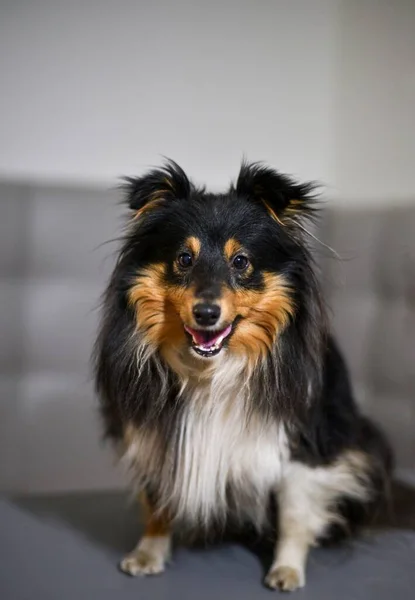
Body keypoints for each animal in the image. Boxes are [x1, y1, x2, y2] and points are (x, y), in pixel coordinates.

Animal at [94, 159, 394, 592]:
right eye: (184, 259)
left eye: (241, 262)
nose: (206, 314)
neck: (212, 369)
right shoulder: (155, 432)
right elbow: (158, 499)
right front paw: (149, 552)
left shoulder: (305, 444)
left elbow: (294, 513)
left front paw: (286, 570)